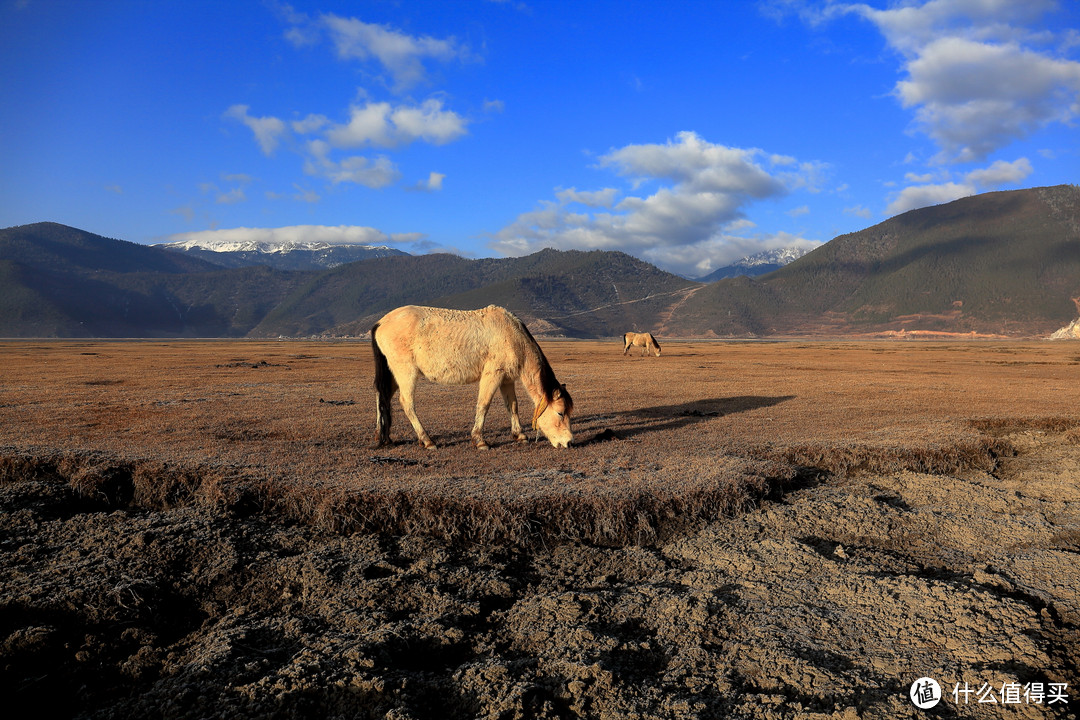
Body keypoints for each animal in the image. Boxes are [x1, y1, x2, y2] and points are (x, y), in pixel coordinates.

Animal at [371, 304, 574, 451]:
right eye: (560, 412)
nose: (569, 442)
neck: (513, 335)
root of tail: (381, 322)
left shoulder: (507, 380)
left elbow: (513, 406)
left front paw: (519, 435)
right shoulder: (493, 375)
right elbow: (483, 405)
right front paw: (480, 441)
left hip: (393, 375)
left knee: (382, 397)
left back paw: (383, 437)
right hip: (406, 373)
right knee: (407, 403)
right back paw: (427, 441)